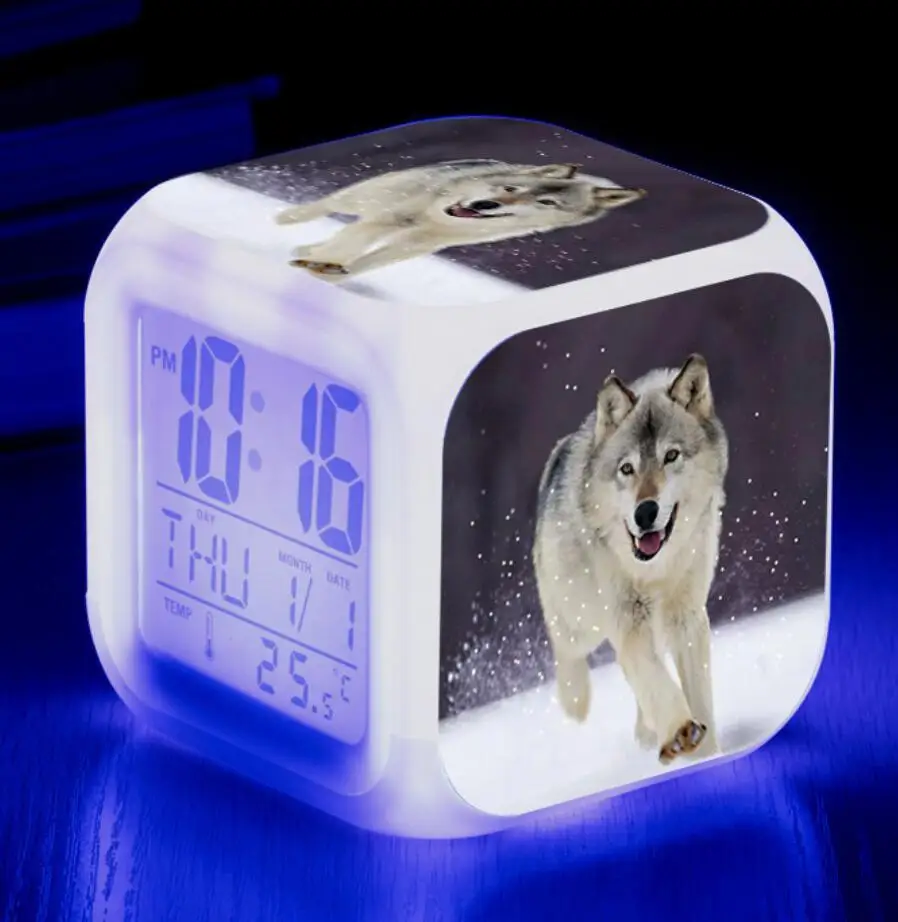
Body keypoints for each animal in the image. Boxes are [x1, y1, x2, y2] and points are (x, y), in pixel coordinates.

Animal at [274, 159, 646, 279]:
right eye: (510, 187)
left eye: (546, 202)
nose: (484, 204)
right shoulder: (393, 220)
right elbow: (350, 242)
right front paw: (323, 262)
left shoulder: (422, 243)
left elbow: (368, 261)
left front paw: (331, 273)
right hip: (374, 198)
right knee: (331, 206)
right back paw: (287, 219)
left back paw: (305, 248)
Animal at [532, 354, 728, 764]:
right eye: (627, 468)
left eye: (671, 456)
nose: (645, 512)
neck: (653, 570)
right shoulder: (627, 618)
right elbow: (654, 678)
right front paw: (681, 730)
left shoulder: (685, 615)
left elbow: (695, 692)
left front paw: (707, 754)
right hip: (582, 620)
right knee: (565, 646)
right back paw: (576, 707)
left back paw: (648, 734)